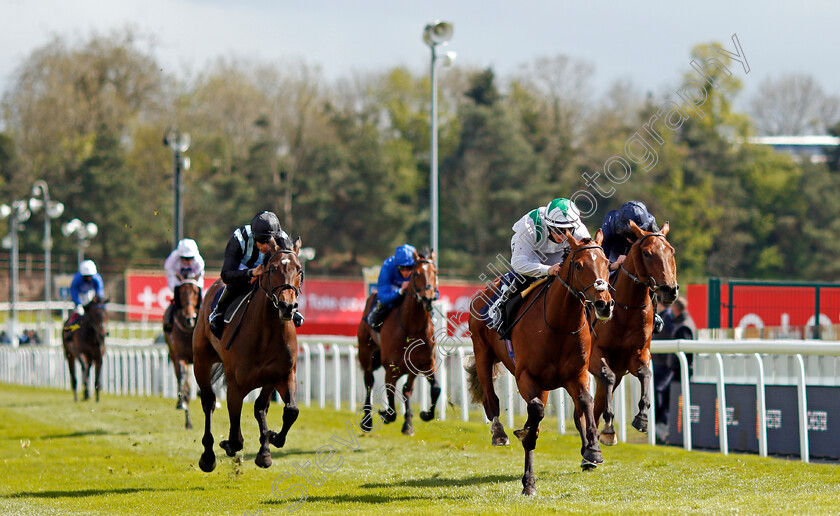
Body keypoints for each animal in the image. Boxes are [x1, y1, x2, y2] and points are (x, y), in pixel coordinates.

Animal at [165, 280, 203, 430]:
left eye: (196, 292)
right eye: (180, 293)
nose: (190, 318)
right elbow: (182, 379)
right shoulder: (180, 357)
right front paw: (181, 401)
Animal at [193, 238, 302, 472]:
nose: (287, 306)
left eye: (299, 269)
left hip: (268, 380)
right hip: (201, 362)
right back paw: (208, 456)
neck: (266, 333)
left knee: (260, 407)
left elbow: (291, 411)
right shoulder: (236, 384)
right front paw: (227, 445)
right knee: (208, 401)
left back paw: (265, 451)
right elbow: (236, 438)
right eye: (272, 268)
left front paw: (272, 438)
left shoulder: (284, 374)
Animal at [358, 250, 442, 436]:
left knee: (406, 390)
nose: (428, 299)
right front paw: (386, 414)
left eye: (435, 272)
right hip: (366, 352)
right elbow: (390, 391)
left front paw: (425, 415)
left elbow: (435, 388)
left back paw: (408, 424)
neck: (412, 327)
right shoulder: (391, 366)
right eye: (416, 273)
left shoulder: (425, 363)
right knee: (369, 382)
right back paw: (367, 421)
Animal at [462, 231, 612, 496]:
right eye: (578, 265)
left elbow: (585, 402)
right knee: (491, 400)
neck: (558, 325)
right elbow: (536, 414)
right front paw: (528, 482)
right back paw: (499, 433)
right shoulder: (526, 377)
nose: (604, 304)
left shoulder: (577, 374)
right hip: (482, 353)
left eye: (606, 263)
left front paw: (593, 450)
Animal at [588, 220, 680, 446]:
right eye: (647, 253)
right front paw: (609, 427)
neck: (627, 309)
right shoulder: (596, 355)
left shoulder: (636, 355)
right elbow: (608, 375)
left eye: (671, 251)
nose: (670, 289)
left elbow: (646, 373)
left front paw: (642, 418)